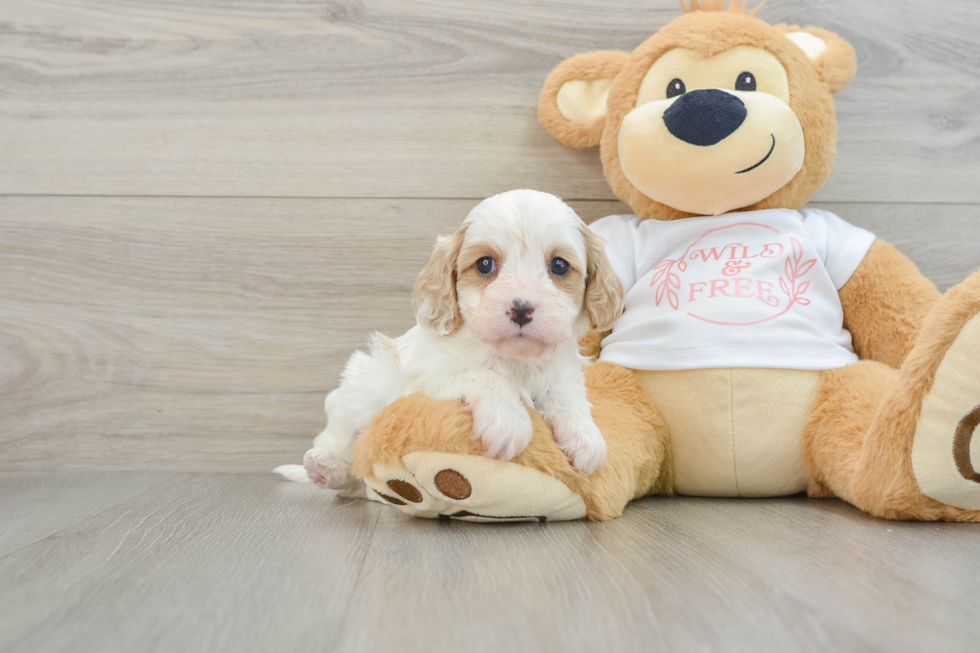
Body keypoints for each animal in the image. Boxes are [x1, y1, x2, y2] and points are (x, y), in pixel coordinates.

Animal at [274, 188, 628, 494]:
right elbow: (487, 377)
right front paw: (510, 421)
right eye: (485, 264)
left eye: (559, 265)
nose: (521, 308)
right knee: (342, 448)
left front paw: (586, 438)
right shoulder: (426, 376)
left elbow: (568, 394)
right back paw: (325, 466)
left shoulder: (561, 371)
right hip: (358, 390)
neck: (513, 359)